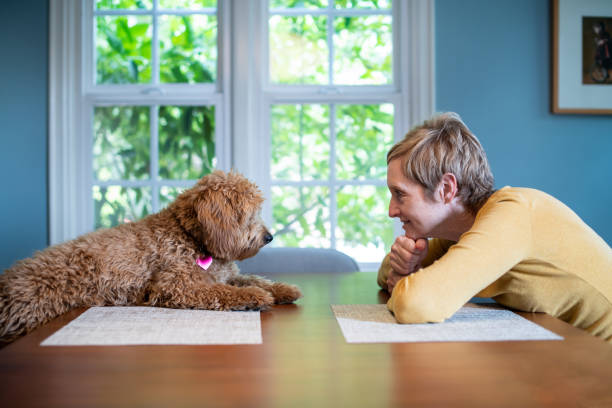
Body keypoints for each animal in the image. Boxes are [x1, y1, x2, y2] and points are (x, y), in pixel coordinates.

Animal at [0, 170, 302, 344]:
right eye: (249, 213)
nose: (269, 237)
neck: (191, 237)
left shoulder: (226, 276)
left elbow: (255, 279)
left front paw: (284, 289)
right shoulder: (176, 285)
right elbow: (222, 292)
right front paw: (255, 297)